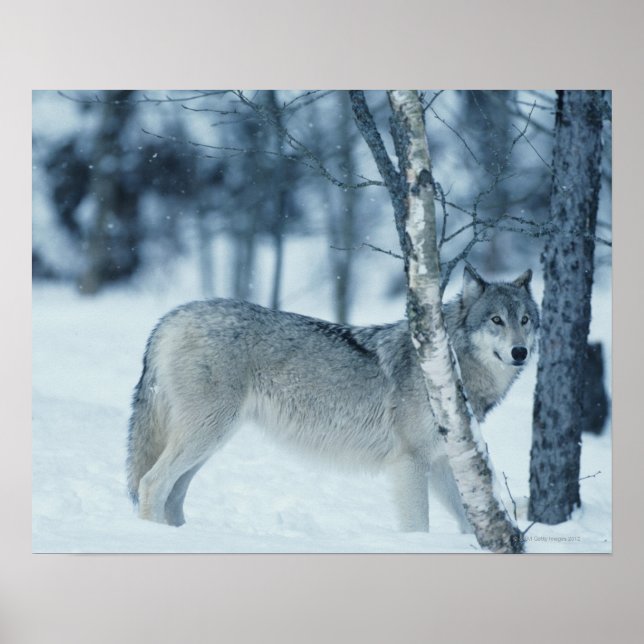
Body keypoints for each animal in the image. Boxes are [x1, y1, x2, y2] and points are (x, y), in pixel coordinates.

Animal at [126, 266, 539, 533]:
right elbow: (418, 526)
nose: (520, 352)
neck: (448, 365)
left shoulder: (439, 464)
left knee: (174, 494)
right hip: (206, 434)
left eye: (525, 319)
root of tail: (170, 317)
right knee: (151, 483)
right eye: (496, 320)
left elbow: (472, 523)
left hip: (211, 441)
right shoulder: (410, 462)